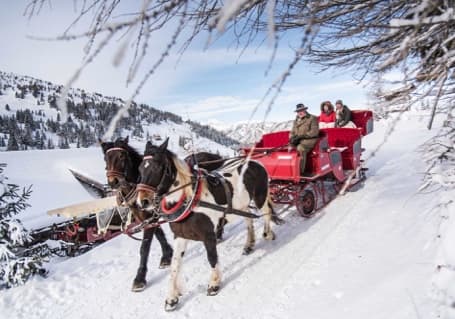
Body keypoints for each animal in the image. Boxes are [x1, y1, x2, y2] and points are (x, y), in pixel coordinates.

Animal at [100, 138, 228, 292]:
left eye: (121, 157)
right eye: (105, 158)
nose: (113, 182)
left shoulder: (151, 217)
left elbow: (145, 246)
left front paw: (140, 278)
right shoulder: (145, 217)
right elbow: (159, 234)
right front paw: (167, 255)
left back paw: (219, 233)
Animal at [135, 138, 282, 312]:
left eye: (157, 167)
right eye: (139, 168)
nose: (142, 202)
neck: (190, 200)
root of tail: (253, 161)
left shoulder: (208, 236)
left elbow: (212, 258)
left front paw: (214, 283)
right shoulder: (180, 236)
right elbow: (174, 265)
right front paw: (171, 298)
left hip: (260, 198)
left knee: (266, 213)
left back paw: (268, 233)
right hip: (242, 206)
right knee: (249, 221)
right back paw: (249, 244)